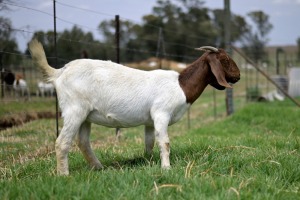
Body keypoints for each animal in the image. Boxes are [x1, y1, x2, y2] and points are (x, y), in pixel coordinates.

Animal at [28, 39, 239, 175]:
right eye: (226, 60)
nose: (238, 77)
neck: (180, 85)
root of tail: (58, 73)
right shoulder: (161, 114)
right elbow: (165, 143)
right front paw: (166, 168)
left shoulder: (150, 121)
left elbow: (150, 143)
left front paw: (149, 162)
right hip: (74, 110)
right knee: (62, 142)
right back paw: (64, 175)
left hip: (85, 115)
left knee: (83, 142)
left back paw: (98, 167)